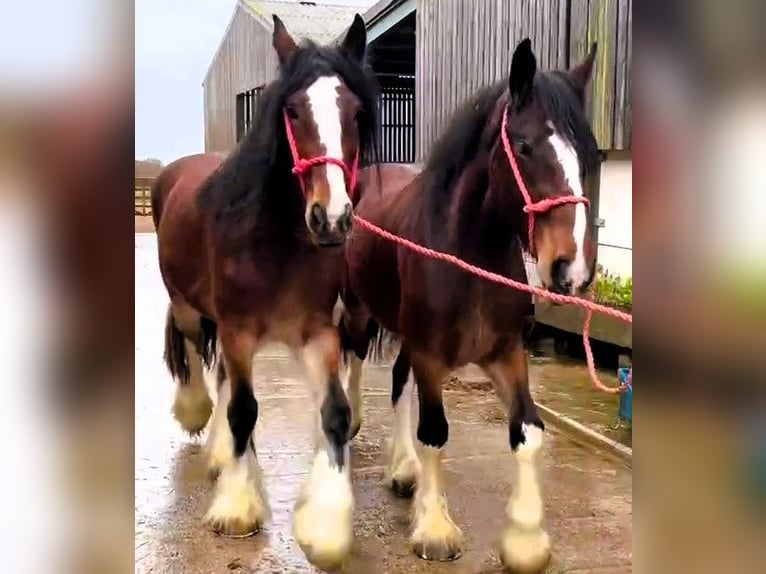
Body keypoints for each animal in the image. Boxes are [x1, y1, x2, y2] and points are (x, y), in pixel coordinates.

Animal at [151, 14, 378, 570]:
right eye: (292, 111)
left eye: (356, 112)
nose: (332, 219)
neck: (275, 244)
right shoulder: (237, 332)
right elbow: (243, 411)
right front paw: (237, 508)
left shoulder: (316, 334)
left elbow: (335, 414)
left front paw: (325, 527)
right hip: (190, 309)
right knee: (202, 364)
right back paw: (201, 422)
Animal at [340, 39, 601, 573]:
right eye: (524, 146)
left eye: (588, 155)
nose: (573, 268)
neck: (467, 253)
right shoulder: (431, 355)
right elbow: (435, 431)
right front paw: (435, 530)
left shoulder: (505, 352)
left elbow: (528, 430)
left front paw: (525, 540)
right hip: (359, 309)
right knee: (352, 355)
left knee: (397, 382)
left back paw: (404, 470)